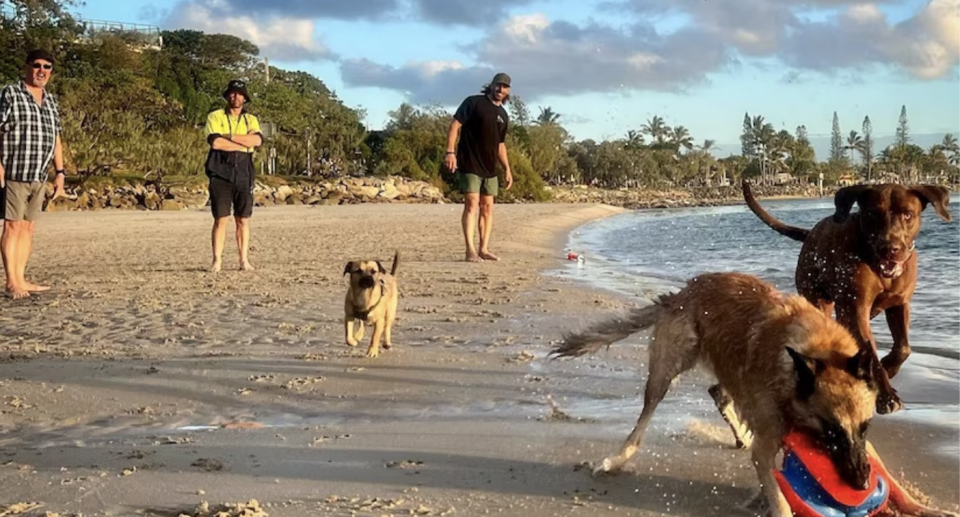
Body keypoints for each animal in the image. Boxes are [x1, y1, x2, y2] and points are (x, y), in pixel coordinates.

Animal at [552, 270, 956, 516]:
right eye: (828, 430)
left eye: (866, 426)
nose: (859, 483)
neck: (812, 356)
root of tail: (681, 292)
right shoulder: (770, 445)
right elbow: (780, 498)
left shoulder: (862, 442)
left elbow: (893, 480)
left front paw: (927, 508)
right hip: (667, 371)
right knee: (645, 417)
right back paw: (616, 458)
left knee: (719, 393)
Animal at [740, 179, 948, 414]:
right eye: (871, 215)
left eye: (907, 214)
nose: (890, 248)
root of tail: (810, 233)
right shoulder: (855, 310)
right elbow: (870, 352)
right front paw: (886, 395)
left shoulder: (899, 304)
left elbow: (903, 347)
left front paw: (888, 367)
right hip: (817, 297)